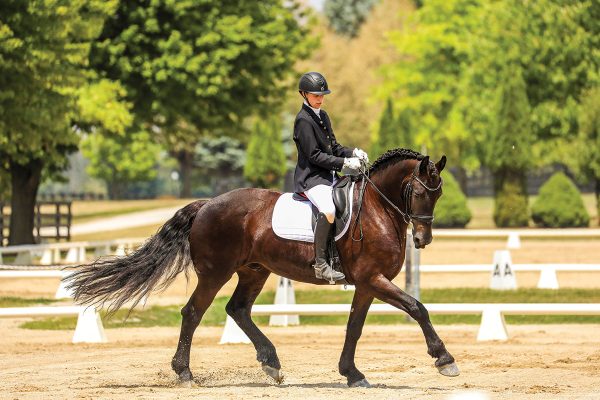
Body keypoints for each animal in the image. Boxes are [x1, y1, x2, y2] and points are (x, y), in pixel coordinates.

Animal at [64, 148, 460, 388]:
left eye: (439, 193)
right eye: (420, 192)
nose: (423, 239)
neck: (377, 209)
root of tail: (206, 204)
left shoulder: (366, 284)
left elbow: (354, 328)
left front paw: (352, 374)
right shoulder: (372, 279)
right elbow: (417, 308)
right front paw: (444, 359)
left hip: (254, 271)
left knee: (237, 309)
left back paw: (271, 363)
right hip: (216, 272)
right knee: (193, 312)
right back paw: (185, 373)